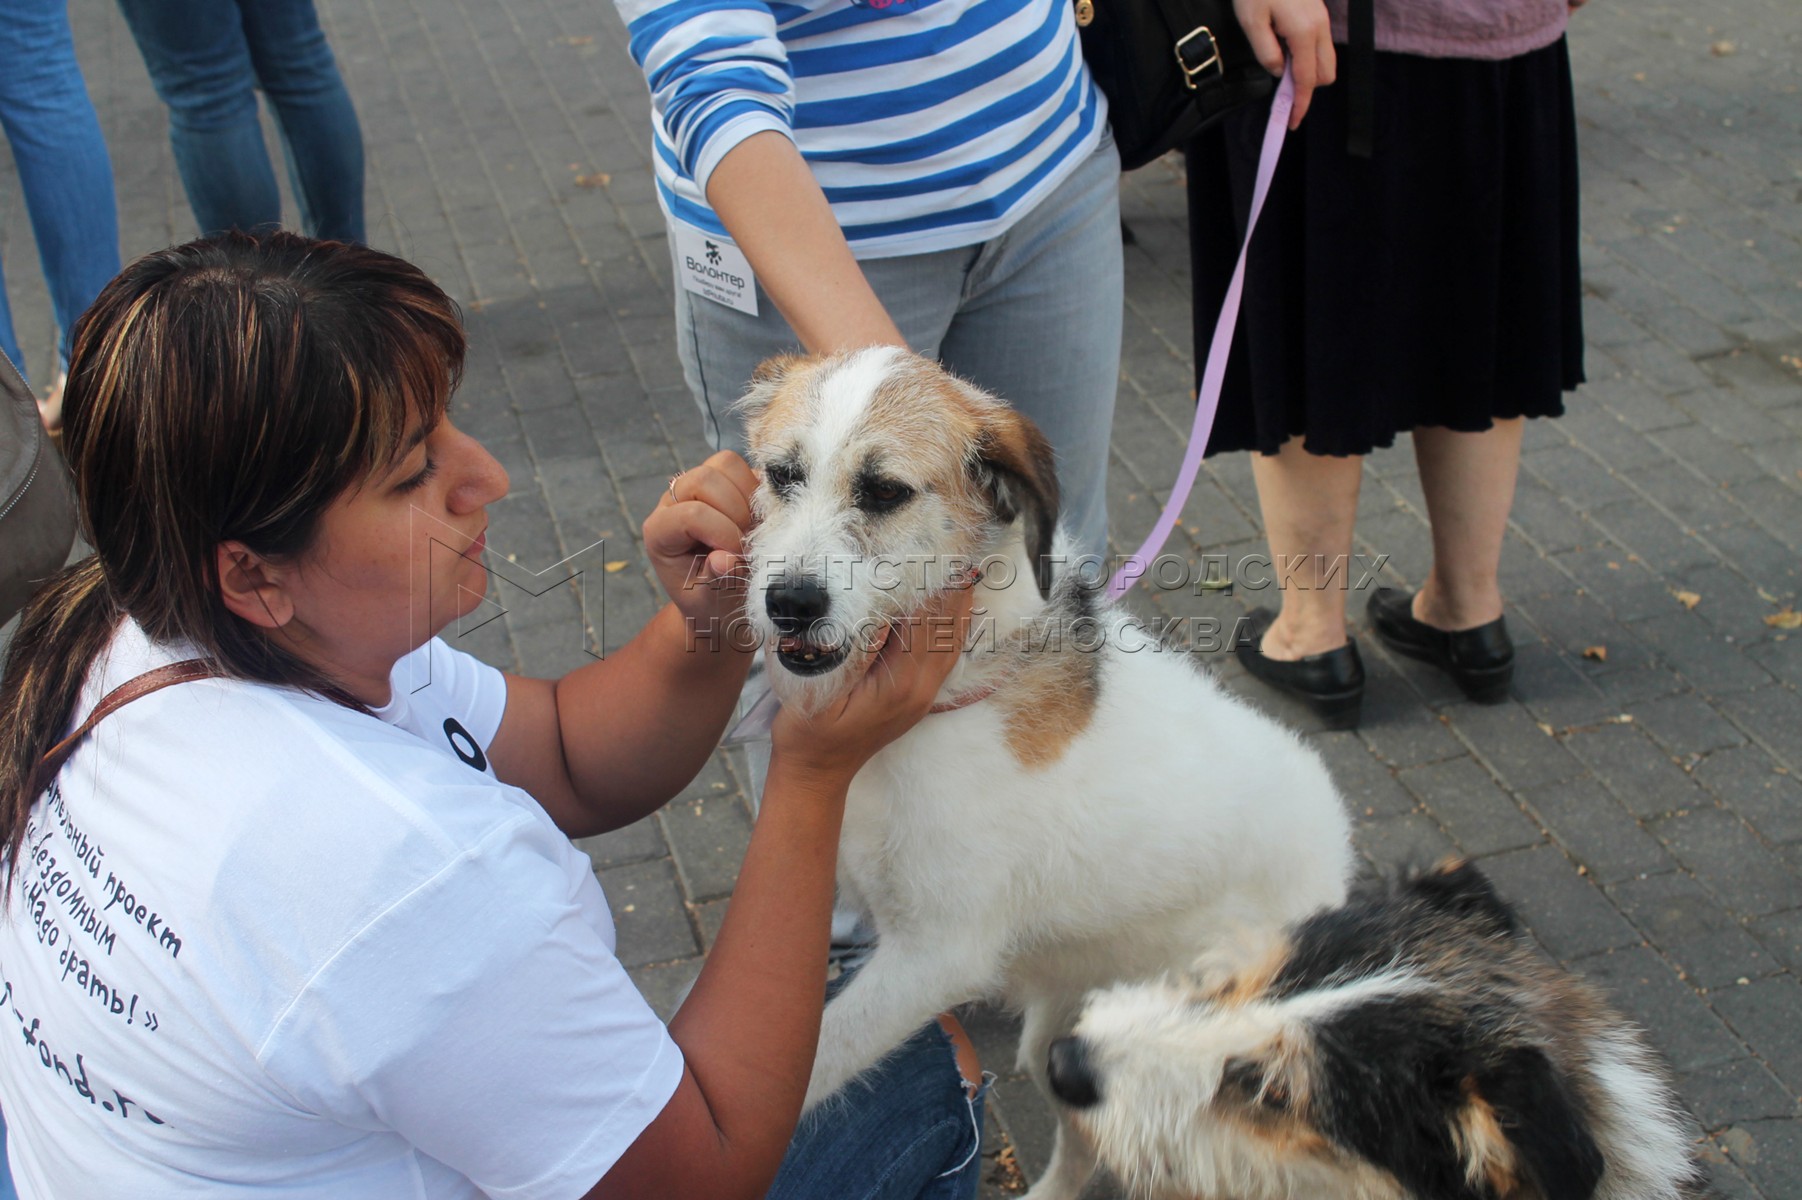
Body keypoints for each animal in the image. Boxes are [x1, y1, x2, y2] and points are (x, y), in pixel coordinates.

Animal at [735, 345, 1355, 1196]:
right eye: (782, 473)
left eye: (885, 490)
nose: (789, 603)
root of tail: (1338, 848)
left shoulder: (936, 955)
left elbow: (815, 1063)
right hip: (1063, 1034)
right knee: (1084, 1140)